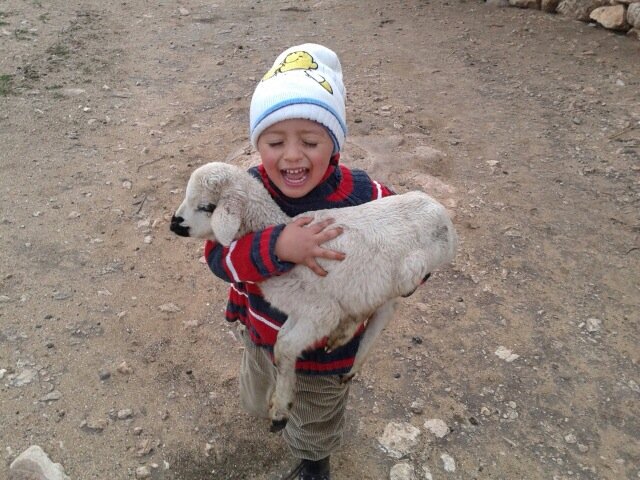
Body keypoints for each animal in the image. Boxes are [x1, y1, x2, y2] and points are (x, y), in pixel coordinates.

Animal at [170, 161, 457, 432]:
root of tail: (443, 217)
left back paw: (351, 355)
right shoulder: (299, 310)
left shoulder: (319, 312)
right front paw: (281, 400)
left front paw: (281, 410)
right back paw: (344, 332)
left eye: (207, 206)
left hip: (407, 273)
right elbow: (281, 343)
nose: (174, 224)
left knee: (384, 308)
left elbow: (285, 348)